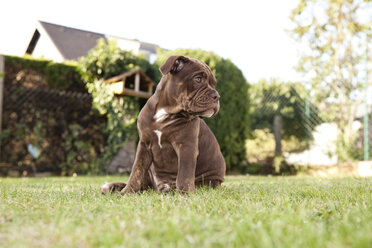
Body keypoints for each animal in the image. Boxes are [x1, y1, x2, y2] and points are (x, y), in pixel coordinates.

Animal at [100, 55, 225, 194]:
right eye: (198, 79)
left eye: (214, 84)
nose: (217, 96)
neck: (166, 112)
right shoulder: (144, 145)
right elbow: (136, 170)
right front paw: (128, 191)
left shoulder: (186, 146)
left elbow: (185, 173)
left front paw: (186, 193)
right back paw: (111, 187)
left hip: (209, 181)